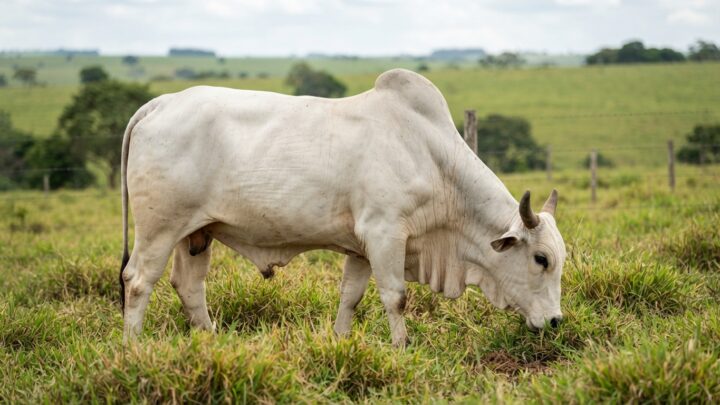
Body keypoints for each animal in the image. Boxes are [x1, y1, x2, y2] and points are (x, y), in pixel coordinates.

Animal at [119, 69, 566, 346]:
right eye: (541, 259)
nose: (556, 321)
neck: (432, 157)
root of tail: (160, 103)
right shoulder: (386, 234)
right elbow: (396, 296)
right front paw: (402, 347)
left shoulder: (360, 247)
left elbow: (350, 297)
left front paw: (339, 341)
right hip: (159, 228)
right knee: (137, 281)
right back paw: (134, 347)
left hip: (197, 233)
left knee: (188, 285)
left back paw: (210, 340)